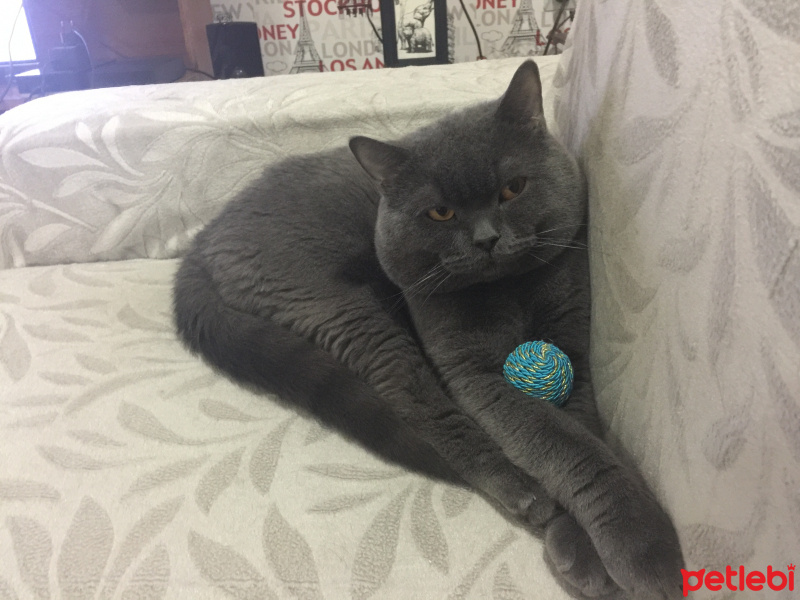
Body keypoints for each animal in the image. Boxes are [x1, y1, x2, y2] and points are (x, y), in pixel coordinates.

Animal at [173, 61, 680, 600]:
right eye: (441, 212)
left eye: (512, 188)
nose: (487, 239)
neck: (507, 291)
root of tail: (204, 237)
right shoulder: (473, 372)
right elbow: (558, 441)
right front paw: (639, 546)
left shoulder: (571, 342)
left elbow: (579, 430)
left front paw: (581, 541)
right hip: (335, 303)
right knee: (412, 396)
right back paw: (521, 490)